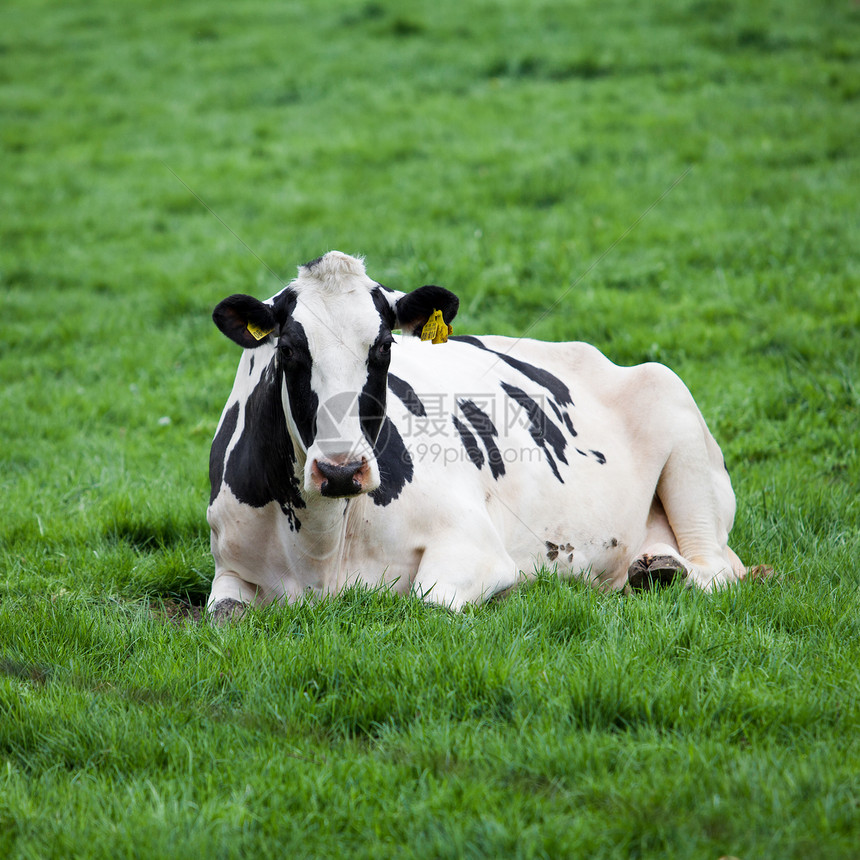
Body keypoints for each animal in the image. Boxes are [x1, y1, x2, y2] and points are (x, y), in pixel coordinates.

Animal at [205, 250, 744, 620]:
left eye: (384, 346)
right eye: (288, 350)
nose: (341, 470)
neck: (320, 548)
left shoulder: (474, 544)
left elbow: (430, 602)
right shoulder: (228, 566)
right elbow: (224, 615)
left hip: (678, 417)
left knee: (720, 569)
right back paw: (655, 565)